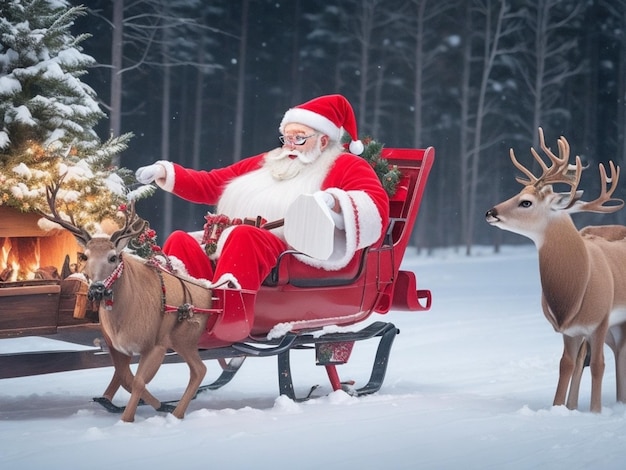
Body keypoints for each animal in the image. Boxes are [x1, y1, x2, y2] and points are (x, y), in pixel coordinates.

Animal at [41, 181, 213, 422]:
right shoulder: (116, 346)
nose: (97, 288)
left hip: (184, 338)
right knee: (198, 370)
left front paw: (128, 419)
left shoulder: (157, 343)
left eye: (113, 257)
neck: (124, 320)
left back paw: (177, 413)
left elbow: (139, 381)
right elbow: (126, 378)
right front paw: (156, 404)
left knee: (199, 370)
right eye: (85, 256)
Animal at [488, 129, 624, 412]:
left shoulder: (600, 322)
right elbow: (566, 365)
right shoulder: (569, 330)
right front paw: (561, 408)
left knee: (615, 356)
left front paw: (595, 411)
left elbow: (598, 365)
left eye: (526, 202)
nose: (490, 212)